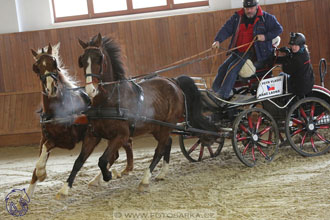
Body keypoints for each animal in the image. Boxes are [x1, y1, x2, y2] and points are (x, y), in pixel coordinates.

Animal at [27, 43, 133, 199]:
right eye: (37, 67)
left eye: (54, 63)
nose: (51, 88)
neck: (57, 110)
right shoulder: (44, 137)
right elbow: (39, 160)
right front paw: (26, 195)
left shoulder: (69, 141)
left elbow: (58, 150)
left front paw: (48, 177)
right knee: (119, 151)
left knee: (122, 147)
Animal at [56, 33, 217, 197]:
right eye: (82, 60)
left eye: (99, 58)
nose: (90, 90)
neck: (109, 100)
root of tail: (174, 81)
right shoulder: (93, 135)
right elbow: (79, 161)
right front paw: (65, 189)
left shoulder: (122, 135)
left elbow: (103, 160)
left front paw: (108, 175)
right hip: (157, 127)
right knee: (168, 142)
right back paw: (162, 173)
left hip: (167, 124)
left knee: (159, 149)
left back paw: (145, 180)